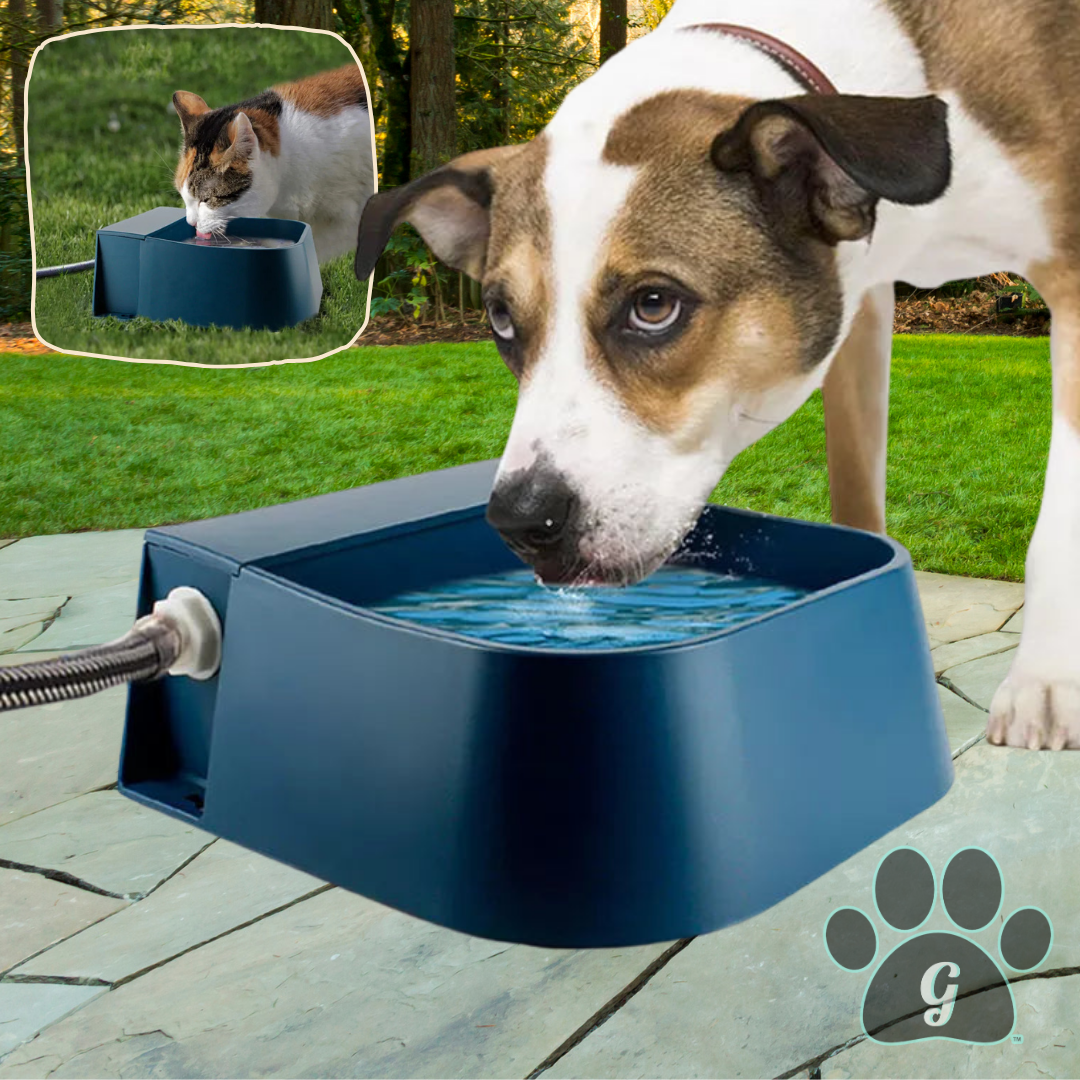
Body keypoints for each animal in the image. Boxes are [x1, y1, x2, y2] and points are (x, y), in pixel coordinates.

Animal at [358, 0, 1080, 751]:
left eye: (653, 305)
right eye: (500, 318)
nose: (522, 520)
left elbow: (1061, 517)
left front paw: (1046, 680)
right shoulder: (863, 302)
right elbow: (858, 495)